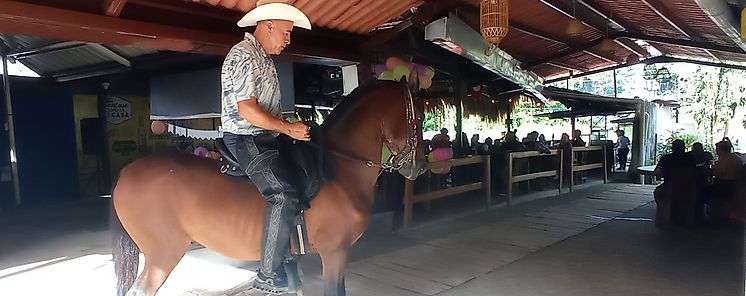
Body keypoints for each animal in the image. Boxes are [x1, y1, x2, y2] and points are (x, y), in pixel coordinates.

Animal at [110, 80, 424, 296]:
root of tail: (127, 170)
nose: (419, 167)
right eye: (418, 118)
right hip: (163, 255)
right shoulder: (334, 252)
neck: (338, 165)